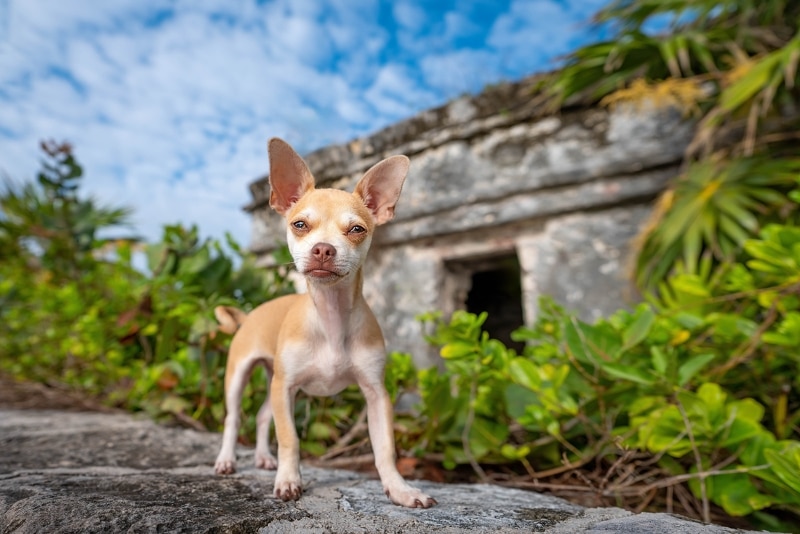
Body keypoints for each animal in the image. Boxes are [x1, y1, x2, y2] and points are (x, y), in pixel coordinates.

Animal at [212, 138, 438, 510]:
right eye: (300, 225)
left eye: (357, 229)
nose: (323, 249)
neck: (331, 316)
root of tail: (249, 314)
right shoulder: (286, 388)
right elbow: (290, 438)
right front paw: (289, 481)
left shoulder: (376, 394)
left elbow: (385, 449)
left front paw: (400, 489)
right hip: (241, 376)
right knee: (234, 418)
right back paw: (227, 460)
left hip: (274, 381)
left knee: (261, 416)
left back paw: (263, 458)